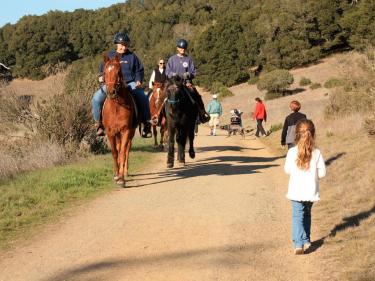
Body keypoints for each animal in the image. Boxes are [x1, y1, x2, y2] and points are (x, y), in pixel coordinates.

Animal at [103, 53, 137, 187]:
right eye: (105, 72)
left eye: (118, 71)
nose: (111, 92)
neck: (116, 106)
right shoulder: (110, 133)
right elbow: (115, 153)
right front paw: (116, 175)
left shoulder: (125, 131)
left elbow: (122, 152)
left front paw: (121, 178)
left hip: (129, 133)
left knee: (126, 149)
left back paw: (125, 171)